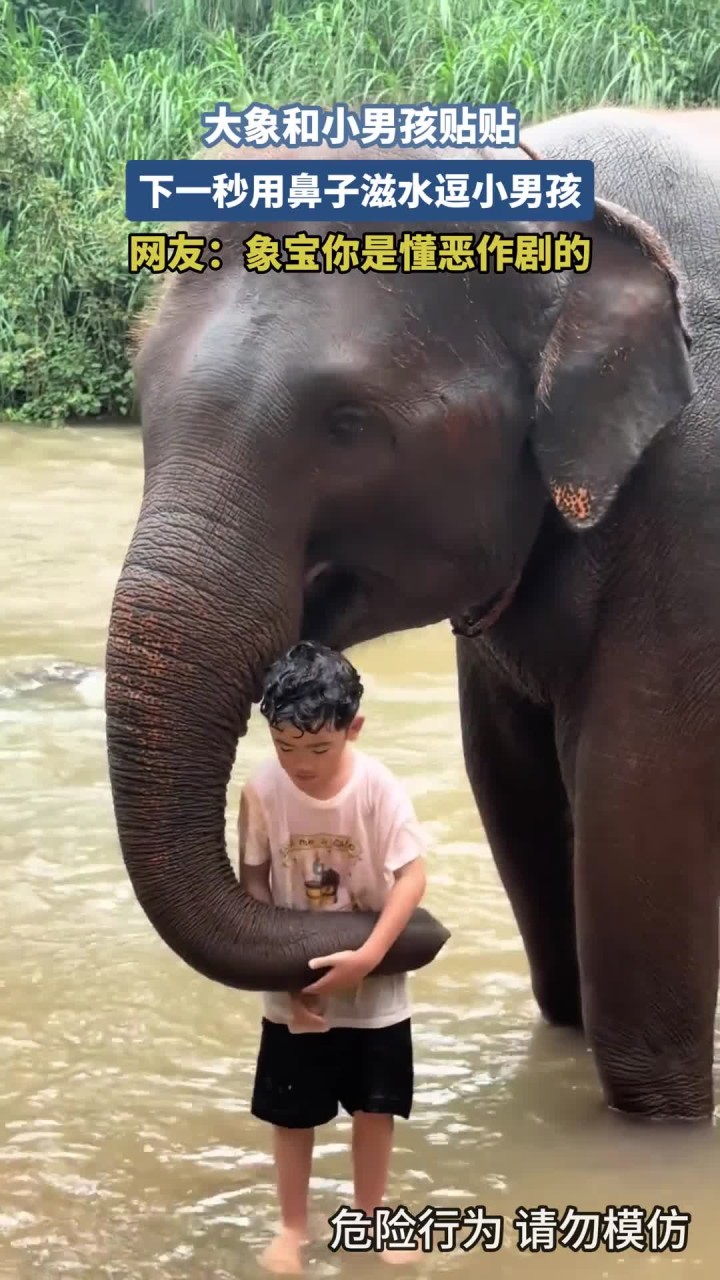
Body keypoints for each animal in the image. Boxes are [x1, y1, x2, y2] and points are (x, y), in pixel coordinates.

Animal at [106, 105, 720, 1124]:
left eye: (348, 424)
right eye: (141, 398)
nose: (424, 924)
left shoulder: (691, 521)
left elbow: (638, 812)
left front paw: (663, 1128)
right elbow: (510, 787)